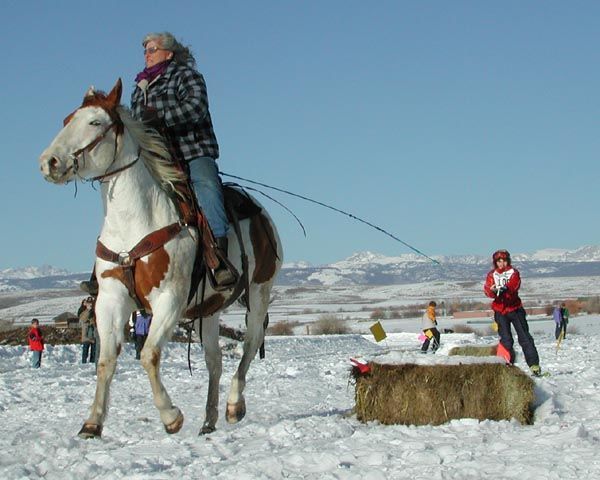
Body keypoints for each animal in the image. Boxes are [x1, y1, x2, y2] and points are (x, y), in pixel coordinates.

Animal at [38, 79, 282, 438]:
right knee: (214, 360)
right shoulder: (110, 299)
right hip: (209, 310)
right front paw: (93, 422)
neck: (135, 222)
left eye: (95, 122)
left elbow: (149, 355)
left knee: (250, 344)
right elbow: (105, 361)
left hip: (259, 293)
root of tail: (262, 215)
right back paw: (208, 420)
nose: (49, 162)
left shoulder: (169, 300)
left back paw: (234, 404)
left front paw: (171, 416)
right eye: (67, 119)